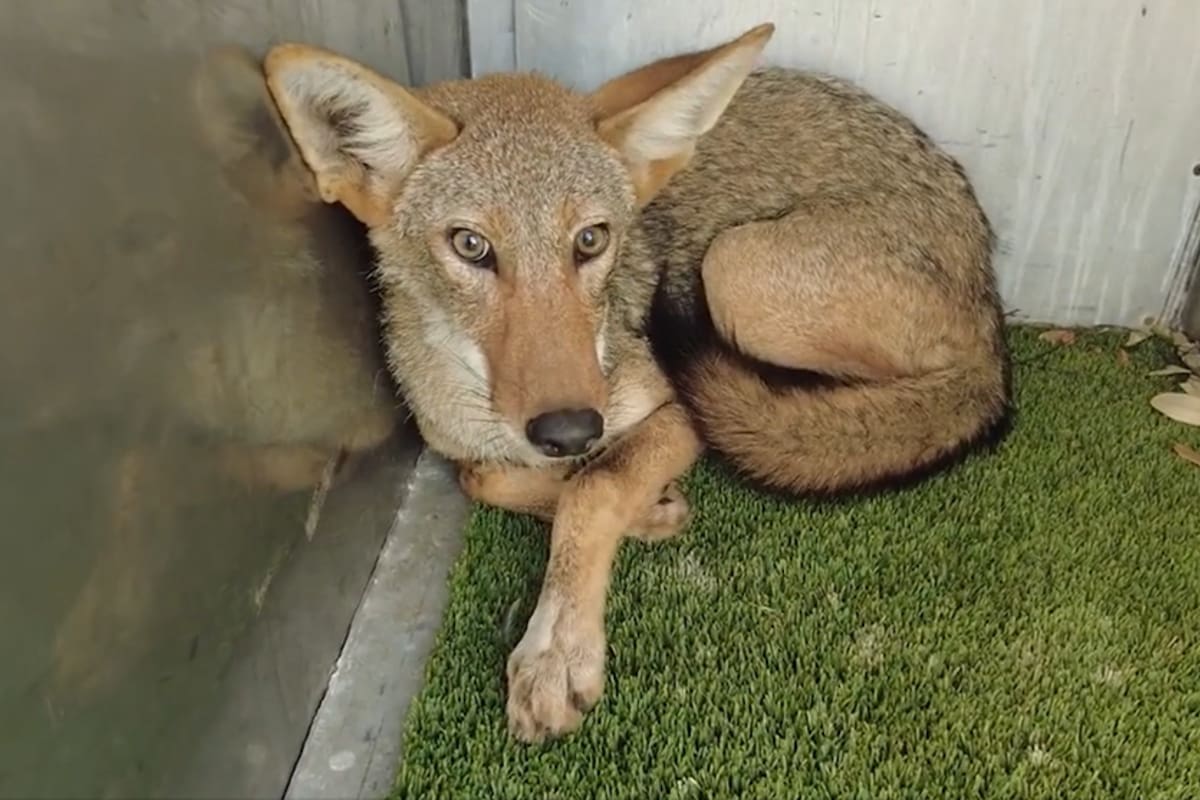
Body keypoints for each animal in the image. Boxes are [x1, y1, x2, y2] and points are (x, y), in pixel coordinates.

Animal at [262, 22, 1009, 742]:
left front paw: (558, 648)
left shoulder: (675, 412)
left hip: (736, 269)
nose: (570, 430)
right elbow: (492, 477)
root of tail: (992, 311)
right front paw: (644, 508)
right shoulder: (468, 444)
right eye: (470, 246)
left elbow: (596, 487)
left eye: (591, 240)